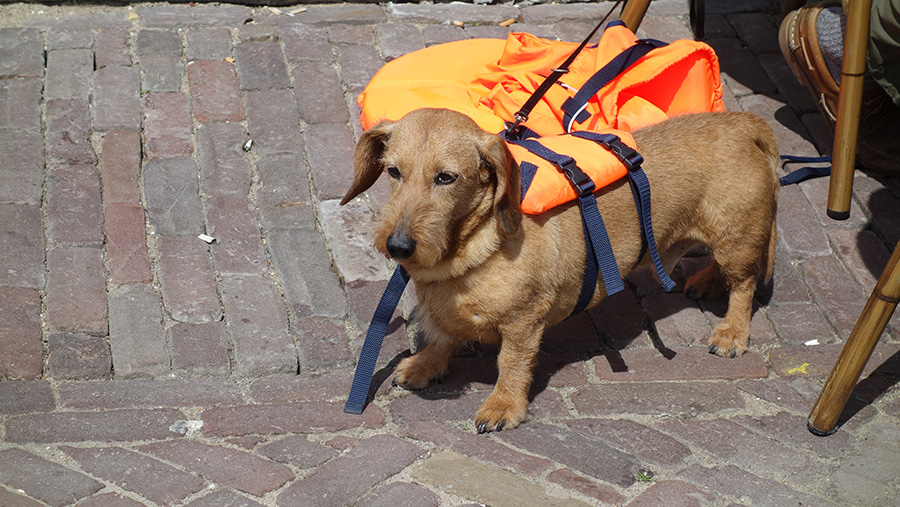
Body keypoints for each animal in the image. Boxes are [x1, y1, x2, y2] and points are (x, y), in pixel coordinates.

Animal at [342, 109, 776, 434]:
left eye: (446, 178)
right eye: (393, 172)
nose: (398, 246)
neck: (469, 249)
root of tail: (741, 122)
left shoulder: (523, 322)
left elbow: (511, 365)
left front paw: (503, 407)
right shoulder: (444, 311)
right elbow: (442, 337)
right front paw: (426, 364)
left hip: (735, 238)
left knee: (744, 285)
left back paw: (732, 332)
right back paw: (707, 282)